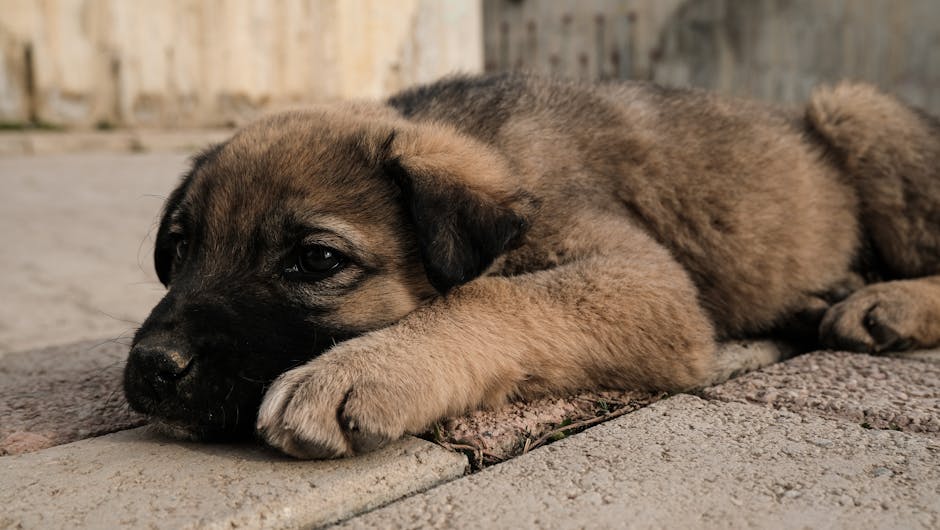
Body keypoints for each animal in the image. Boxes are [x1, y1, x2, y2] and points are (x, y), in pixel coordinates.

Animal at [125, 72, 940, 456]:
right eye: (182, 247)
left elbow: (491, 297)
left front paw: (361, 370)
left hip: (853, 109)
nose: (150, 370)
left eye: (316, 261)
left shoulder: (648, 283)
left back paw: (885, 305)